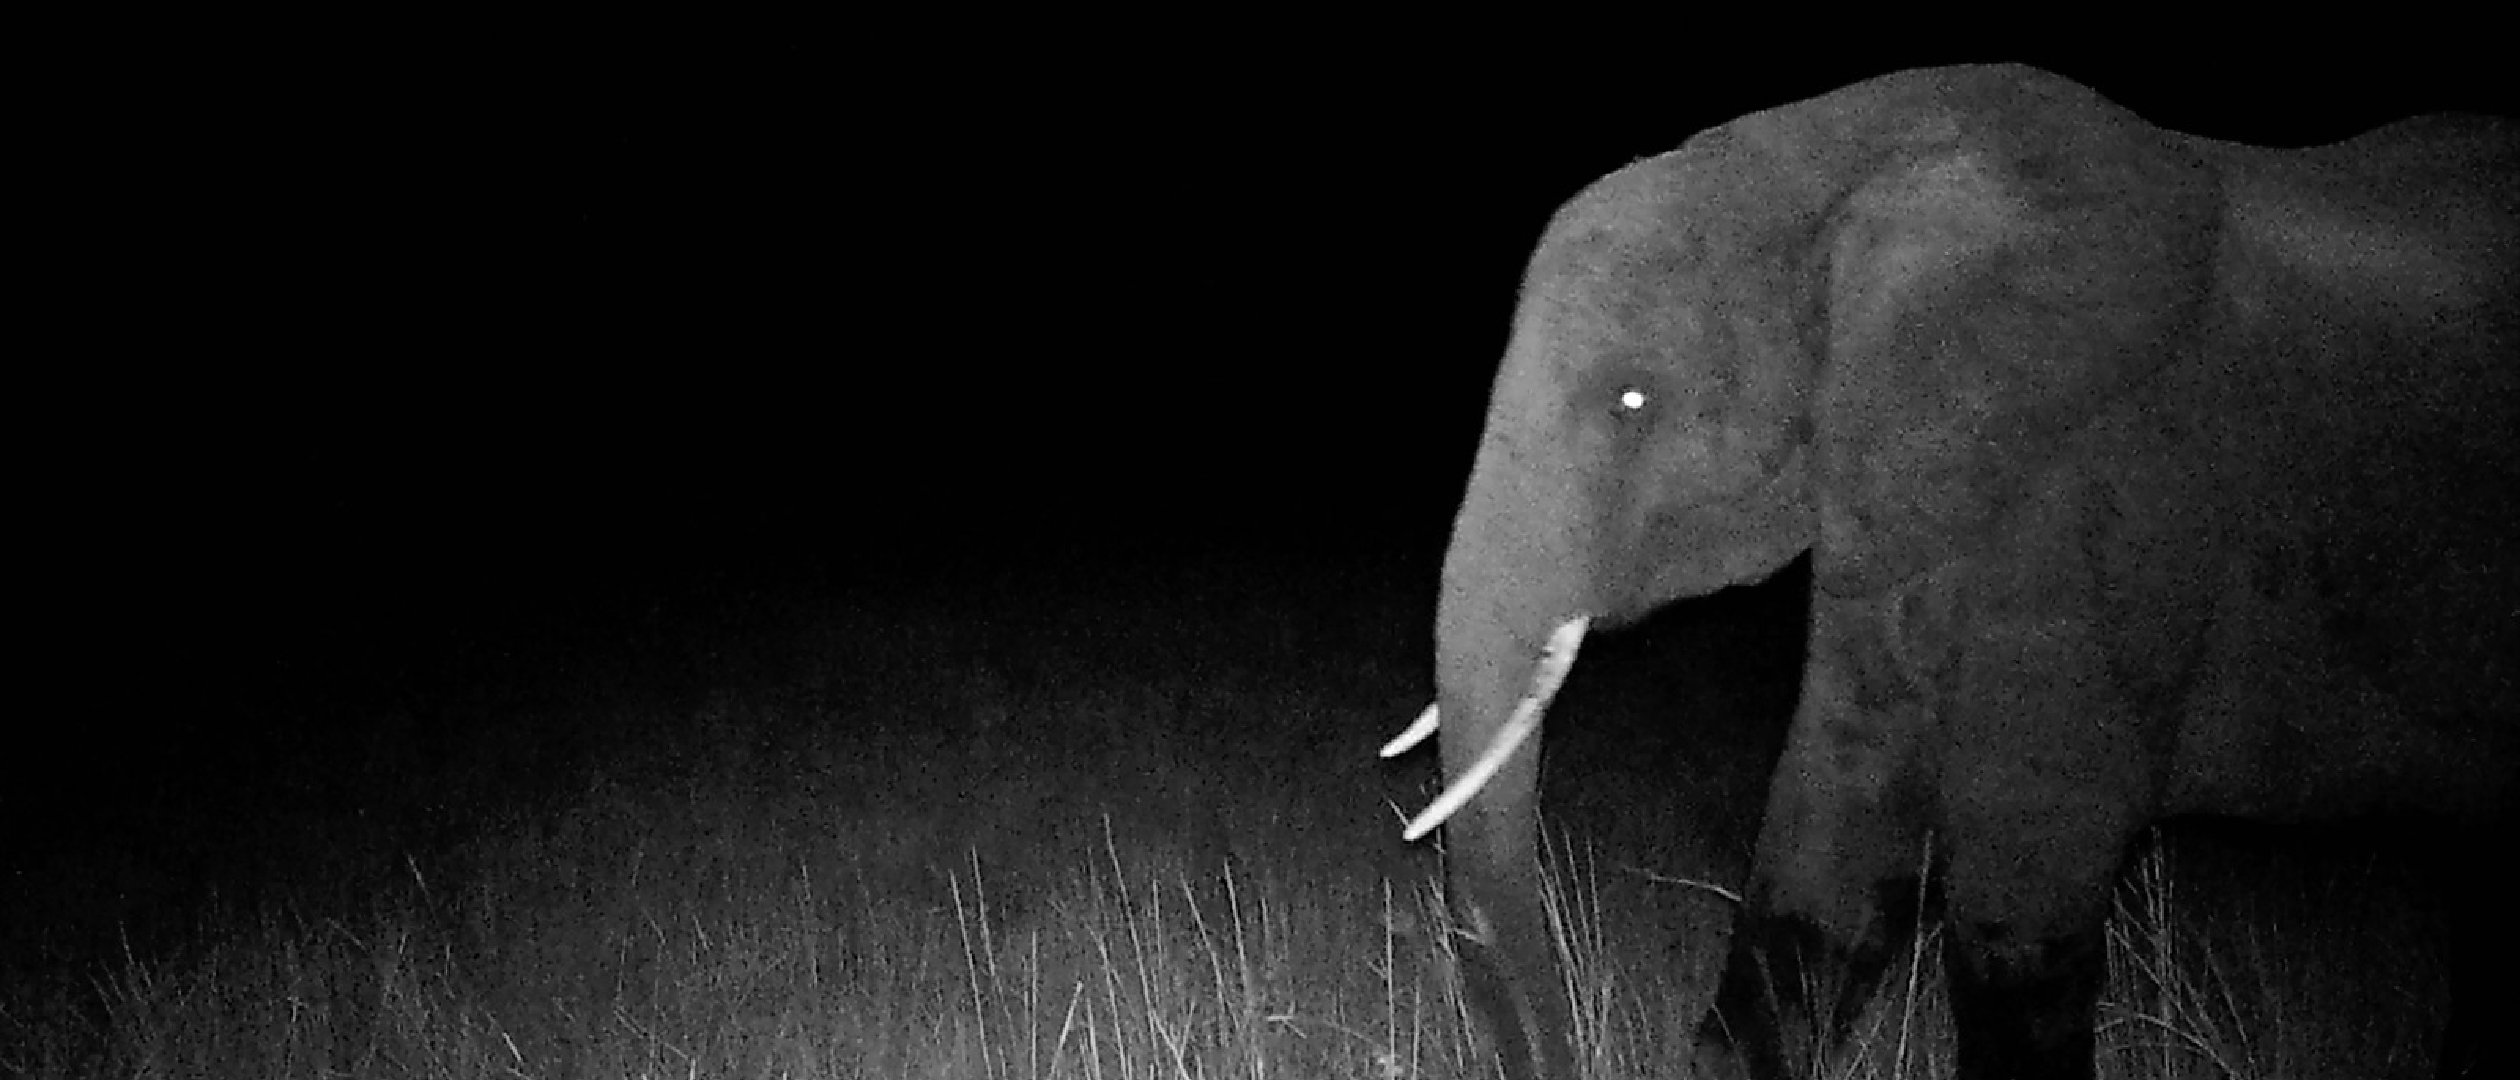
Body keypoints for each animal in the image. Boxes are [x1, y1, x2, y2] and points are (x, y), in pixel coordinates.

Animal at [1383, 65, 2516, 1080]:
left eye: (1631, 401)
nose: (1560, 1051)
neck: (1838, 164)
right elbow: (1835, 840)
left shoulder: (2104, 489)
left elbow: (2026, 889)